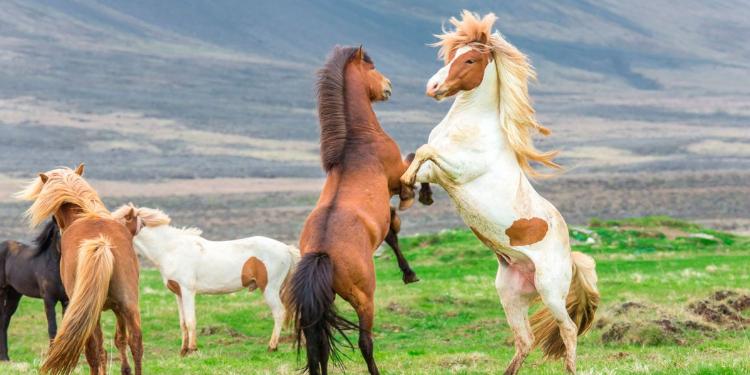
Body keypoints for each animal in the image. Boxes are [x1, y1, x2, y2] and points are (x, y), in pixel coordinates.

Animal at [0, 219, 69, 362]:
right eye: (58, 231)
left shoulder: (65, 301)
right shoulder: (49, 300)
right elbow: (52, 328)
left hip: (14, 295)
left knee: (4, 321)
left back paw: (5, 357)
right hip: (1, 292)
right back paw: (3, 357)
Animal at [16, 166, 144, 375]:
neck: (85, 214)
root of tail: (101, 243)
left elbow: (100, 349)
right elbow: (116, 342)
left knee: (92, 350)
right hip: (128, 304)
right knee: (136, 344)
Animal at [111, 204, 300, 354]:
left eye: (119, 221)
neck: (170, 249)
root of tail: (286, 248)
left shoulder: (188, 291)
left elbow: (190, 320)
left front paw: (192, 349)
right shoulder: (178, 294)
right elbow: (183, 323)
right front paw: (183, 351)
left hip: (270, 289)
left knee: (279, 313)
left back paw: (272, 347)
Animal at [284, 47, 424, 375]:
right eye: (371, 68)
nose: (388, 85)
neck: (357, 142)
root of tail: (321, 253)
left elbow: (392, 231)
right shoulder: (396, 177)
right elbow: (415, 162)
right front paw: (419, 196)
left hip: (323, 303)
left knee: (319, 346)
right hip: (363, 298)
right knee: (365, 343)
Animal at [402, 11, 604, 375]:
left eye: (469, 59)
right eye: (450, 55)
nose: (432, 87)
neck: (470, 126)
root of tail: (571, 257)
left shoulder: (458, 170)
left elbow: (425, 151)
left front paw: (409, 185)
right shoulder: (439, 172)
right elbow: (417, 157)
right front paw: (409, 186)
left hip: (550, 290)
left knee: (567, 329)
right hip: (511, 293)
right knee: (525, 340)